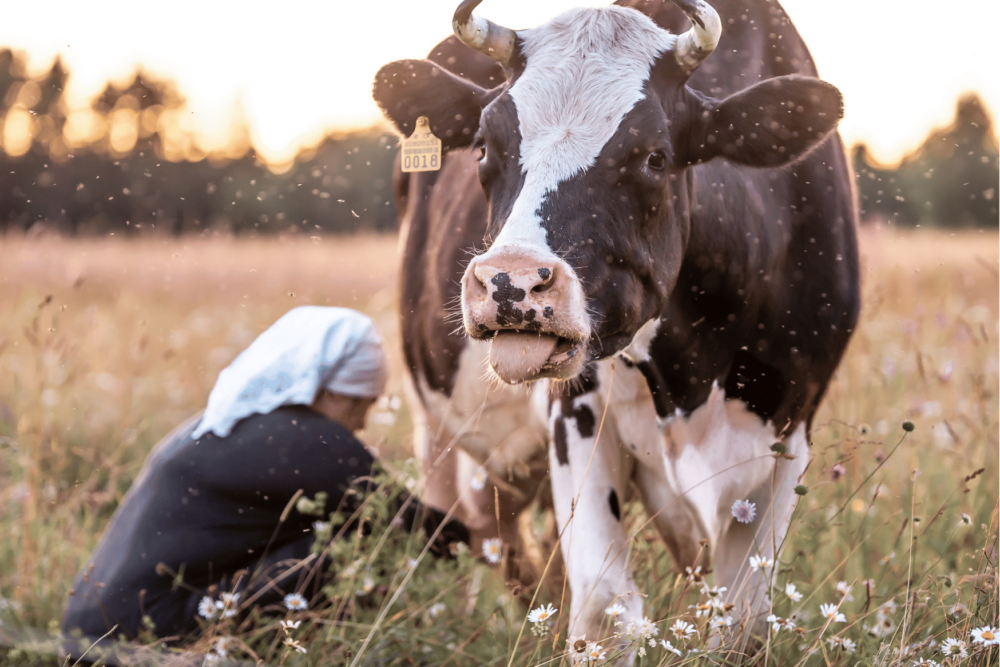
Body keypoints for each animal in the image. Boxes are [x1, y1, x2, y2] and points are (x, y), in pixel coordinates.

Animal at [376, 0, 860, 652]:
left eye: (654, 156)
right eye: (482, 147)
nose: (509, 282)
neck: (691, 376)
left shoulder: (790, 424)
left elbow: (742, 616)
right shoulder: (575, 411)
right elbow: (605, 609)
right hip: (436, 427)